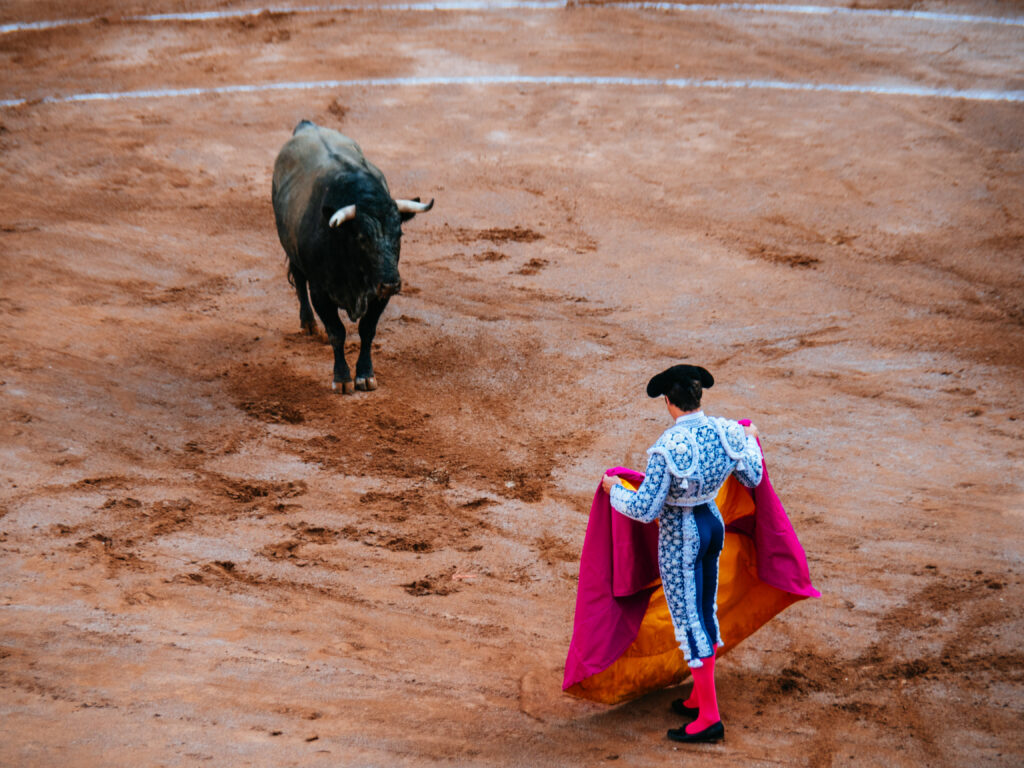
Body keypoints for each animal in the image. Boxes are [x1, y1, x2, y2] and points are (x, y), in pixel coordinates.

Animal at [270, 122, 430, 397]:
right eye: (362, 238)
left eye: (399, 234)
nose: (391, 283)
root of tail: (307, 126)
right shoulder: (321, 293)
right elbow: (337, 332)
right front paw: (342, 378)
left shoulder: (378, 295)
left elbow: (367, 331)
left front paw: (365, 375)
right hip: (291, 250)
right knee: (299, 281)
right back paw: (308, 323)